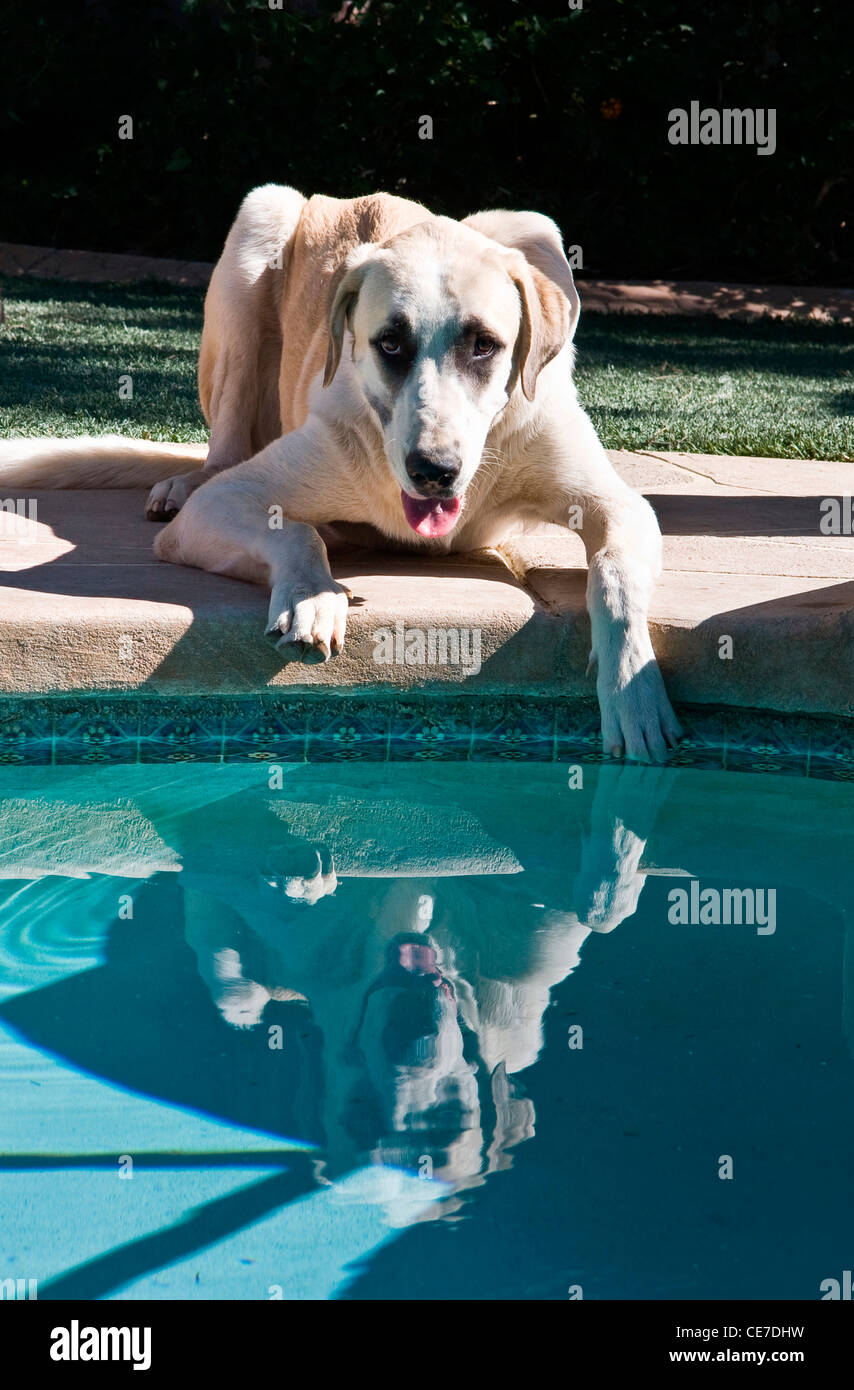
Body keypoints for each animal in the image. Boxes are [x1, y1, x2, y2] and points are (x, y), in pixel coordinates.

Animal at [0, 183, 681, 761]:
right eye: (390, 343)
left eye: (484, 344)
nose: (433, 471)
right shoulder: (229, 501)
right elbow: (294, 531)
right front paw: (314, 597)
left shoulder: (619, 505)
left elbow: (616, 579)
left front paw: (634, 693)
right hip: (259, 226)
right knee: (221, 452)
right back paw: (191, 481)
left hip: (534, 227)